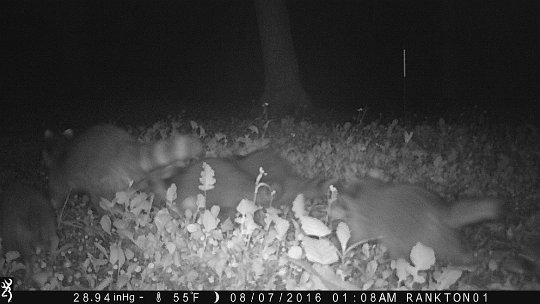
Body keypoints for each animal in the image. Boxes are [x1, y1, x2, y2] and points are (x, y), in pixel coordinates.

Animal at [42, 123, 202, 211]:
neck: (62, 148)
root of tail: (127, 147)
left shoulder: (58, 177)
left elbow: (56, 195)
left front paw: (53, 205)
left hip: (103, 180)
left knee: (102, 202)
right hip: (133, 177)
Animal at [330, 177, 502, 264]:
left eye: (338, 201)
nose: (329, 210)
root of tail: (443, 210)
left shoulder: (363, 223)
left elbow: (354, 238)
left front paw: (338, 244)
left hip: (428, 237)